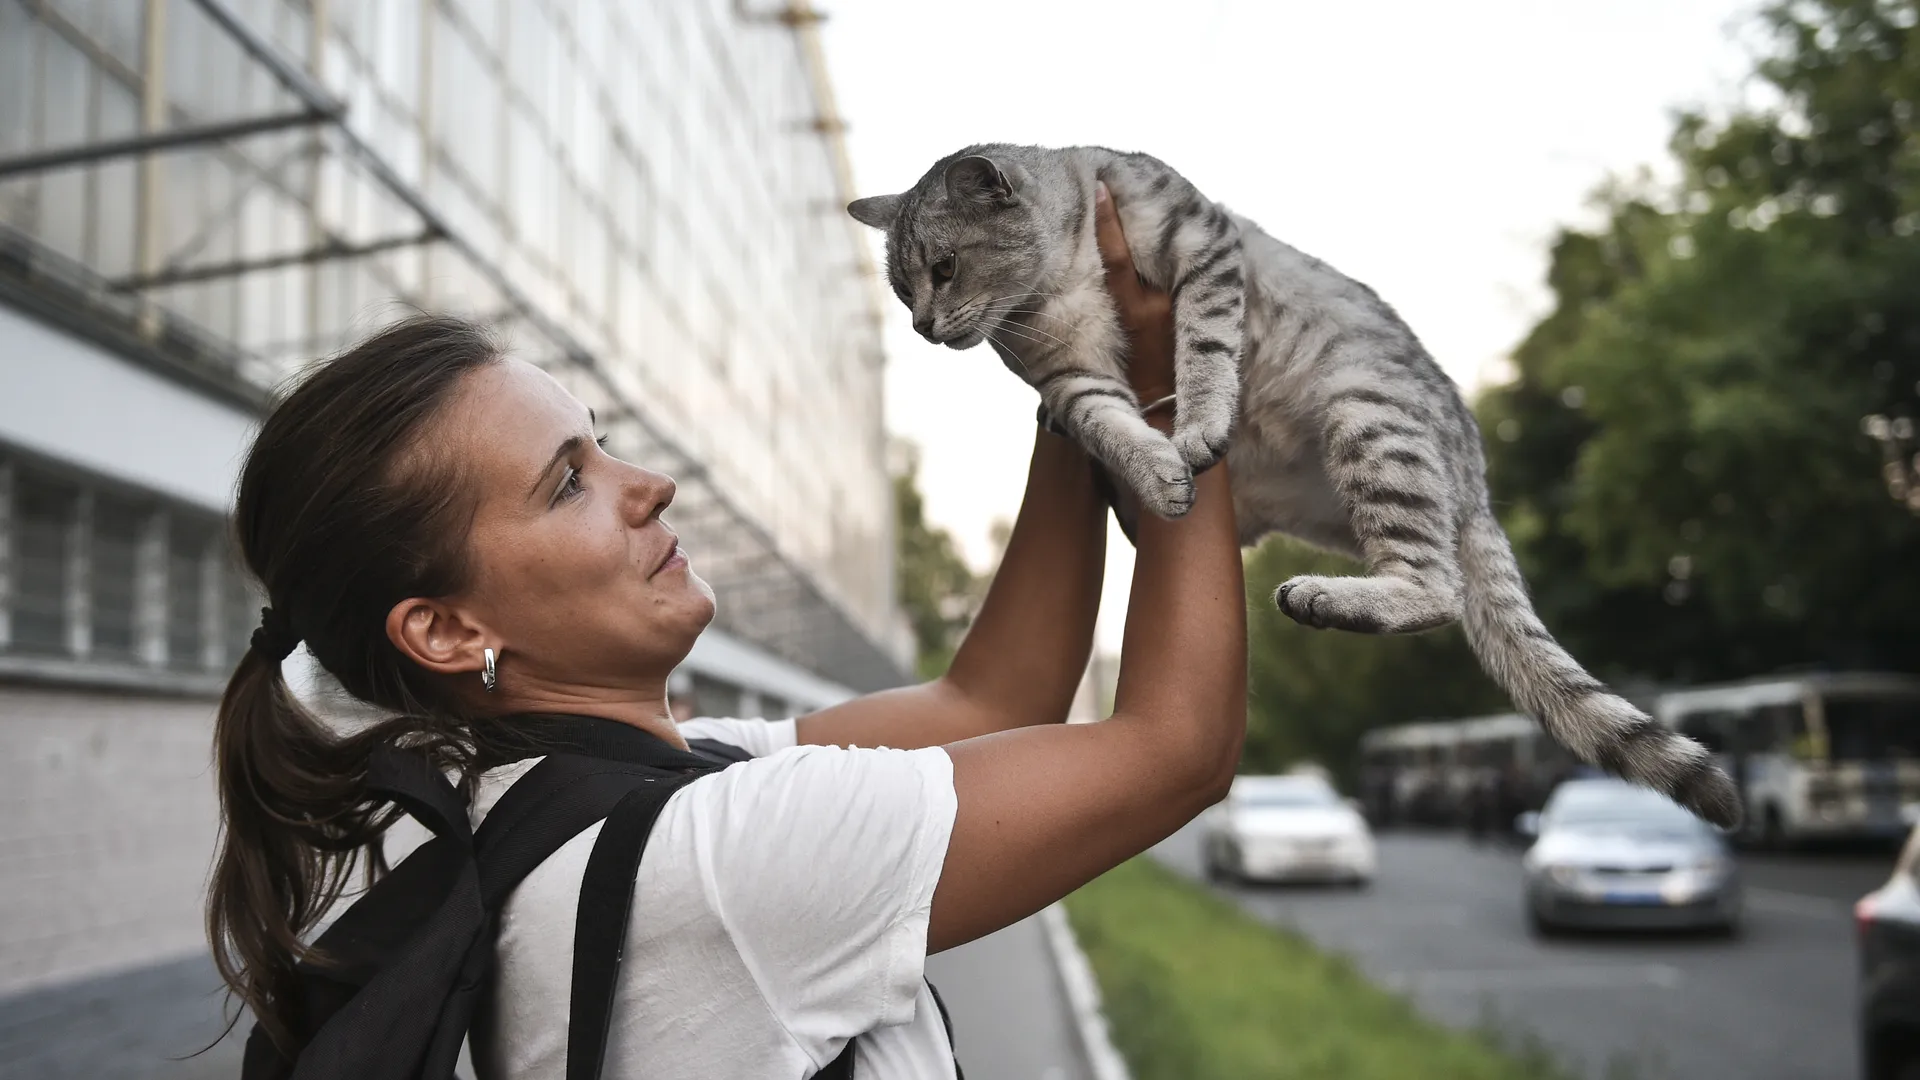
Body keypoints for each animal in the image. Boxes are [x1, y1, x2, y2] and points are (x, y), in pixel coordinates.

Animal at [856, 145, 1743, 822]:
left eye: (944, 267)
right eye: (903, 289)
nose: (922, 327)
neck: (1059, 284)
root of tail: (1480, 487)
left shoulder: (1203, 246)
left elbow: (1204, 347)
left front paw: (1198, 422)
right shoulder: (1072, 380)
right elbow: (1111, 426)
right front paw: (1157, 471)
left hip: (1369, 415)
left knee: (1437, 586)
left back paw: (1321, 594)